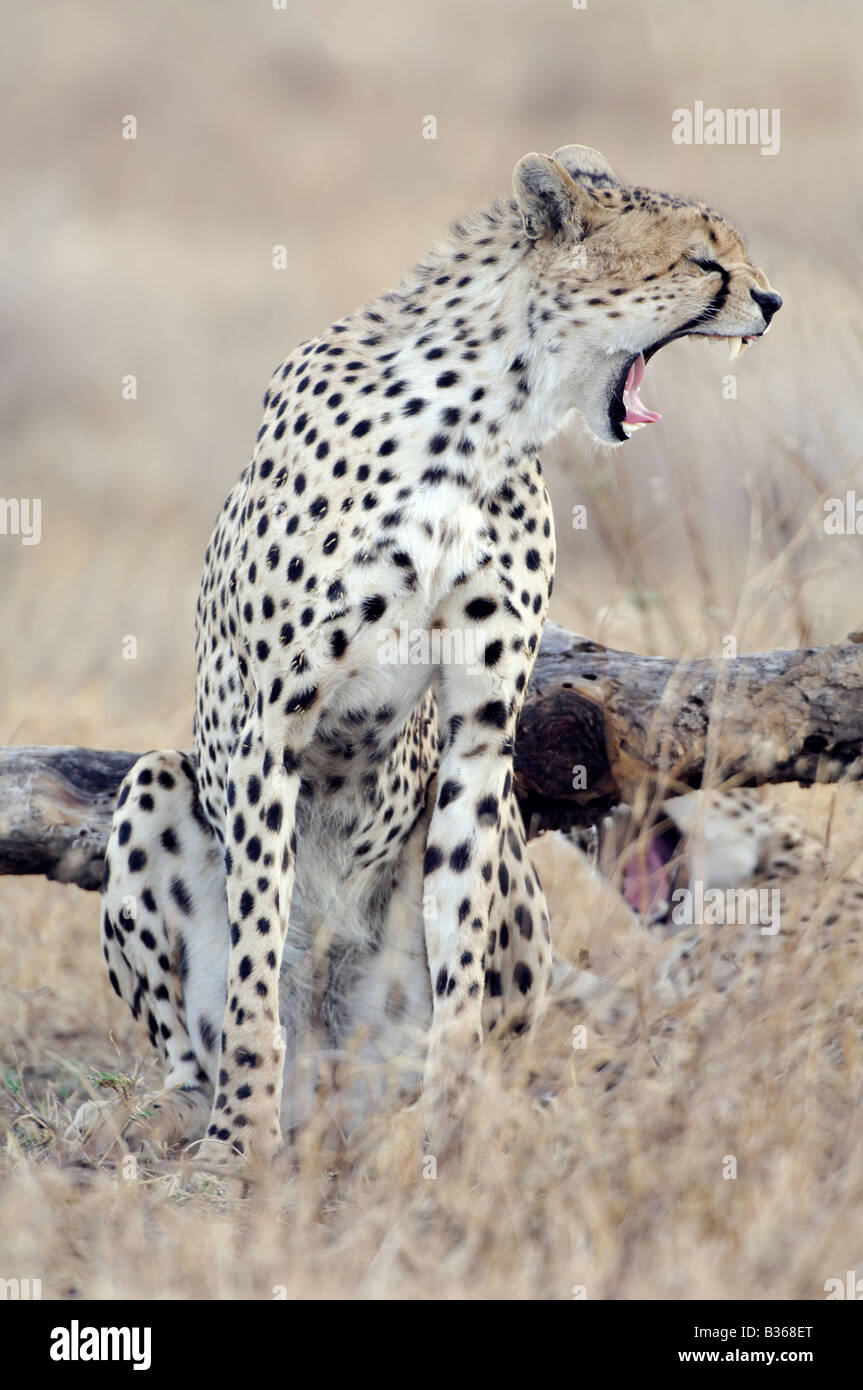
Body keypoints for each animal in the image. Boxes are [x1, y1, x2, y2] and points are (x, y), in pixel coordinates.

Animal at [73, 144, 781, 1165]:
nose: (769, 301)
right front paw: (237, 1145)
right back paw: (175, 1113)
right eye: (700, 258)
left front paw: (448, 1131)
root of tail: (325, 1087)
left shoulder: (482, 731)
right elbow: (254, 964)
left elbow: (459, 947)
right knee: (190, 1043)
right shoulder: (266, 728)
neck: (485, 416)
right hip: (156, 784)